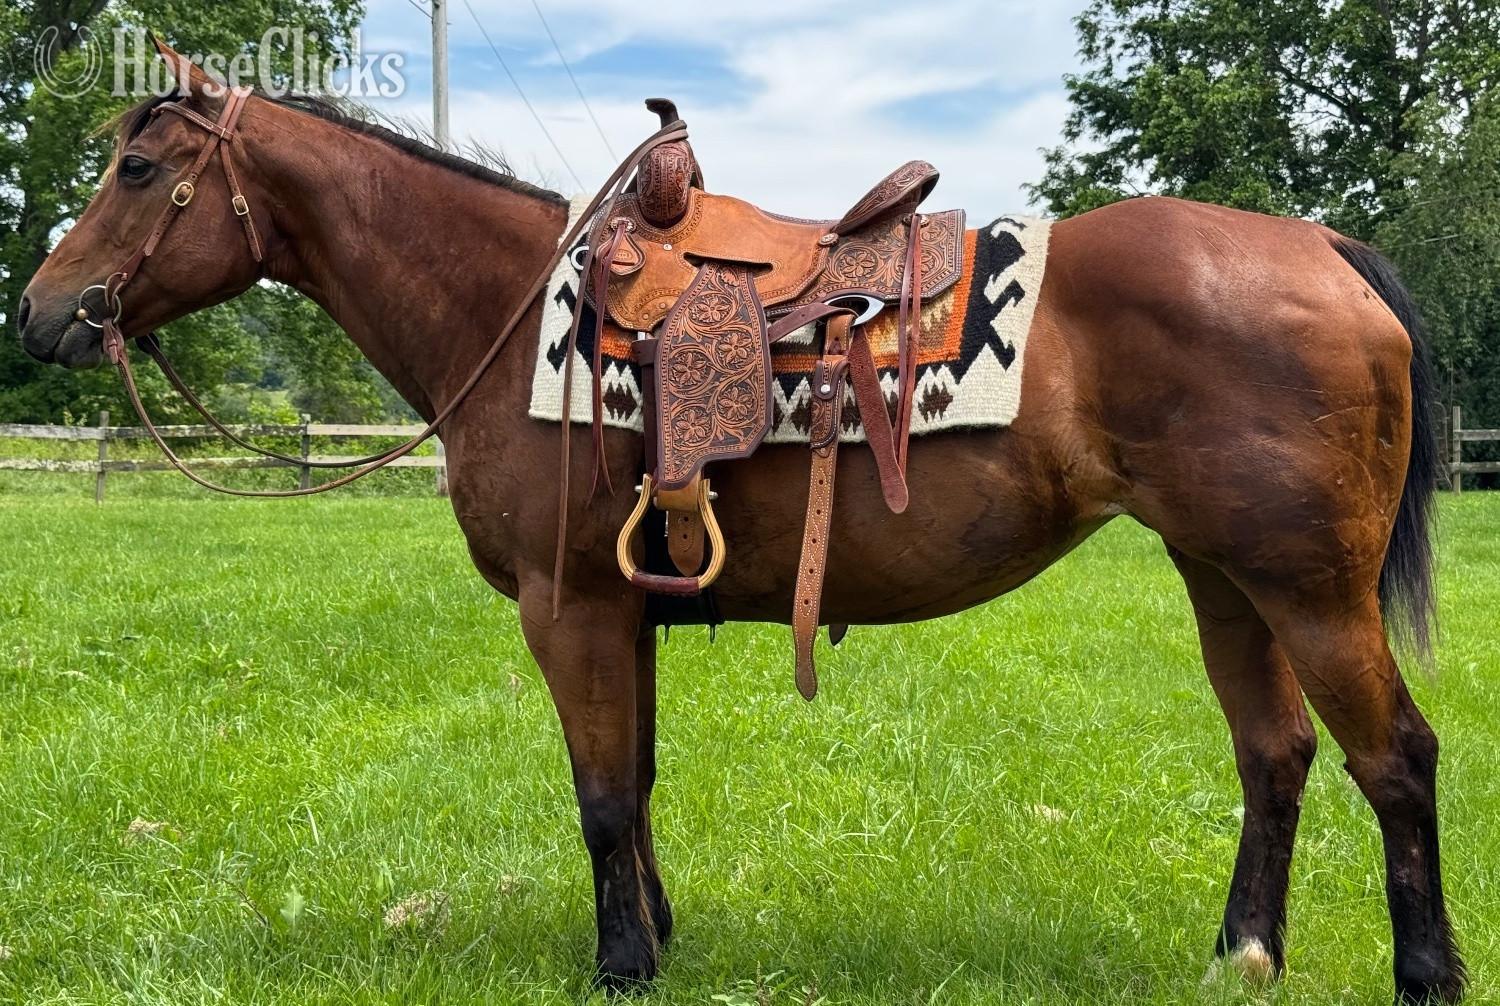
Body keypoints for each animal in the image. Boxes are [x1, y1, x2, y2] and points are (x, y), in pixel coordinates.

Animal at [16, 44, 1463, 1002]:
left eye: (137, 166)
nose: (39, 312)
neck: (509, 309)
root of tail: (1324, 248)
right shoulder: (629, 606)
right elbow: (639, 781)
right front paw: (654, 937)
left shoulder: (570, 607)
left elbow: (602, 795)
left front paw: (618, 965)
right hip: (1224, 574)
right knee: (1275, 753)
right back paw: (1244, 952)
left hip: (1310, 585)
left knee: (1394, 758)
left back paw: (1428, 969)